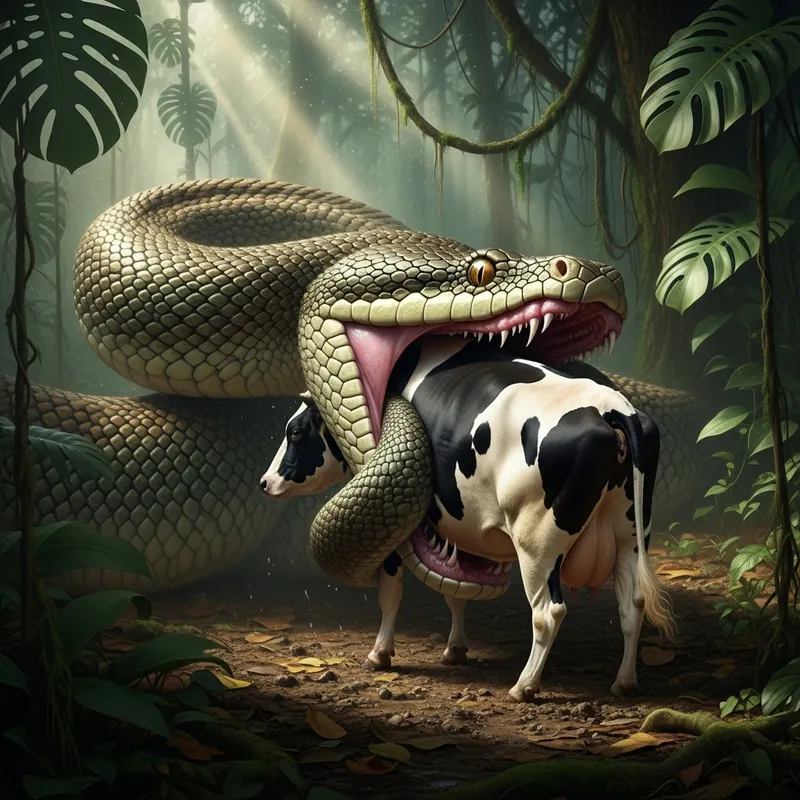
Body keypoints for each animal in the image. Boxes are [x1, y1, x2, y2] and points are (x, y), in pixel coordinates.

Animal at [262, 336, 675, 701]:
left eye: (294, 432)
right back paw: (624, 682)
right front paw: (456, 649)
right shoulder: (460, 524)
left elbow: (391, 594)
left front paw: (379, 653)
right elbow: (456, 588)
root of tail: (613, 408)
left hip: (538, 540)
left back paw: (524, 686)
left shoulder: (399, 533)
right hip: (630, 533)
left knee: (548, 612)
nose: (265, 482)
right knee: (633, 603)